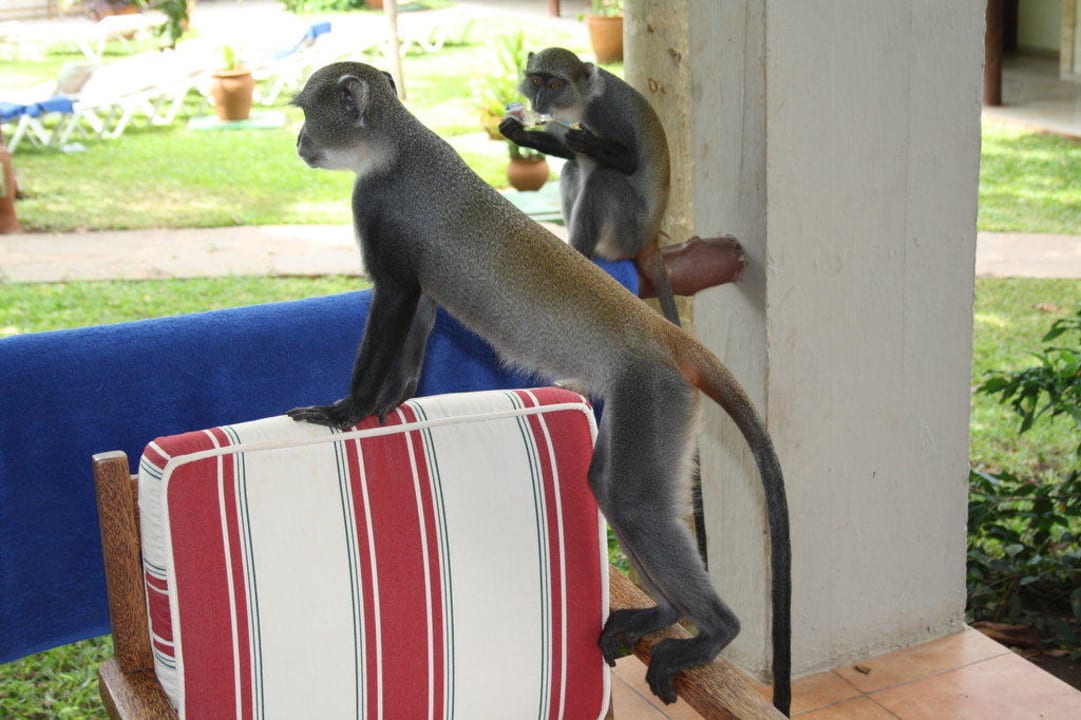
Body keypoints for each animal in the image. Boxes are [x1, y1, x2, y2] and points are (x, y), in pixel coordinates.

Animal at [498, 47, 682, 328]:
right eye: (537, 81)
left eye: (555, 85)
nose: (539, 100)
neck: (578, 102)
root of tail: (649, 241)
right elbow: (566, 151)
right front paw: (517, 132)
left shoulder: (606, 113)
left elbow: (629, 163)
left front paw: (587, 140)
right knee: (572, 168)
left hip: (626, 235)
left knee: (603, 180)